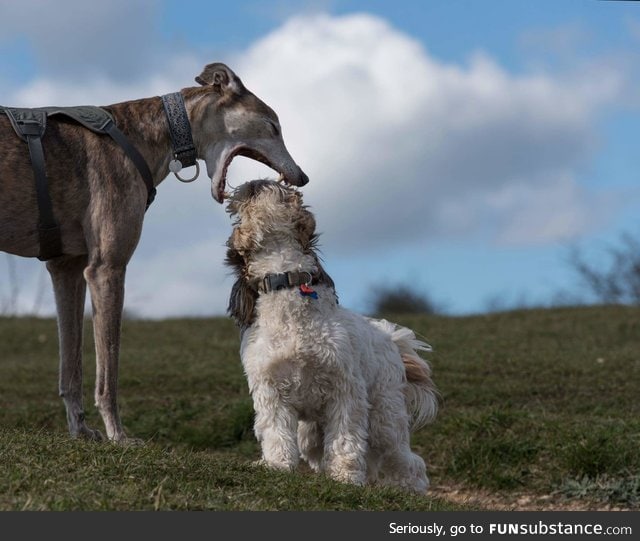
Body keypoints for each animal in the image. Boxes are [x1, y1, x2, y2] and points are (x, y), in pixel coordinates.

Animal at [222, 179, 438, 492]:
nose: (255, 182)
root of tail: (390, 338)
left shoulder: (345, 392)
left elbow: (346, 441)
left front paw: (346, 479)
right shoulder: (271, 392)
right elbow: (276, 435)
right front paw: (276, 467)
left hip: (384, 417)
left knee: (406, 458)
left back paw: (410, 489)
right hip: (310, 432)